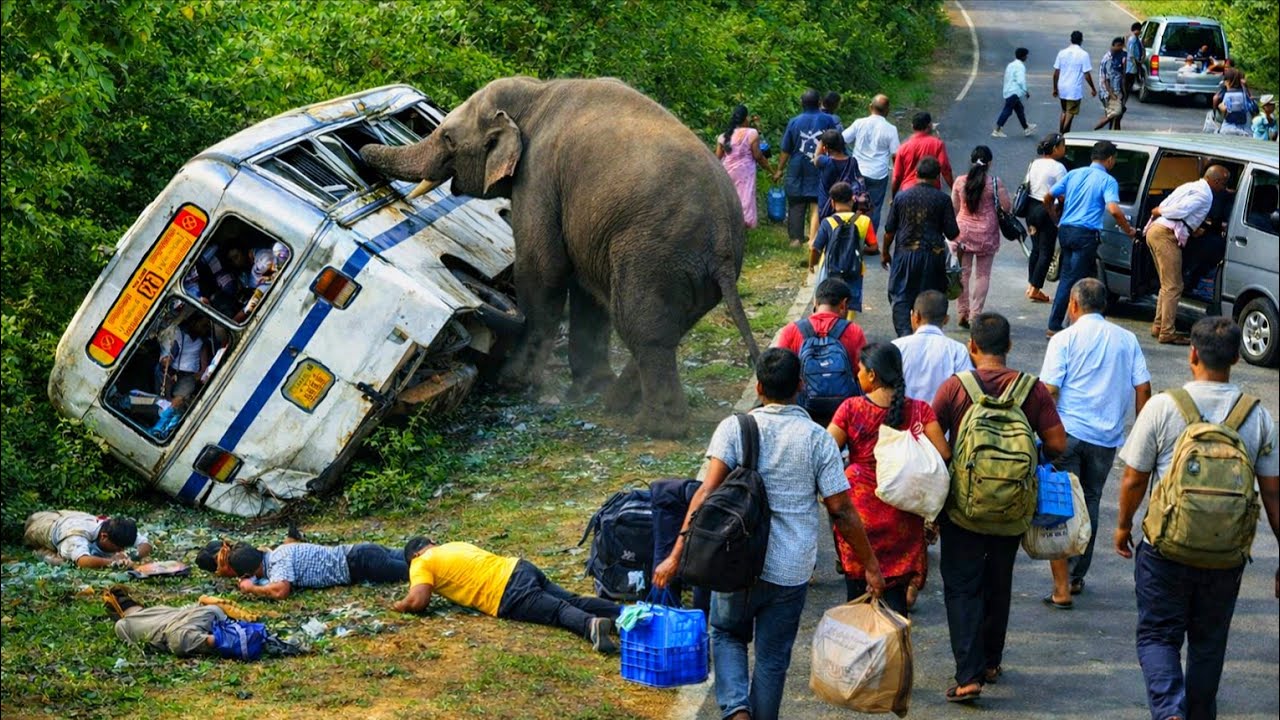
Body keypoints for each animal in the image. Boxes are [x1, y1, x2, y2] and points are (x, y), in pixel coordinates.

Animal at [361, 76, 760, 438]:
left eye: (446, 137)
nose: (362, 153)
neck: (536, 93)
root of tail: (724, 242)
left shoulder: (538, 175)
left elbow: (542, 271)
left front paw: (511, 384)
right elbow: (584, 288)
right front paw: (585, 388)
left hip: (654, 253)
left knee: (643, 328)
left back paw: (654, 427)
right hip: (689, 273)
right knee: (662, 328)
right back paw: (614, 403)